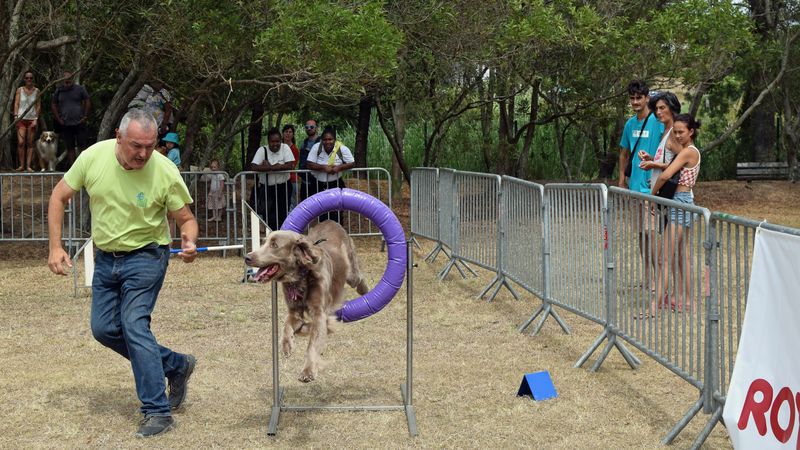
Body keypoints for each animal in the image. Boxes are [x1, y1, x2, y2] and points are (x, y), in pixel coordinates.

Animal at [244, 220, 368, 382]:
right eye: (264, 242)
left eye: (274, 245)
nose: (246, 257)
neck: (300, 277)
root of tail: (331, 221)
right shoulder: (294, 311)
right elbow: (287, 325)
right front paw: (287, 344)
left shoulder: (319, 312)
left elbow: (312, 344)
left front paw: (308, 371)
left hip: (351, 272)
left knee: (359, 279)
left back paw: (366, 292)